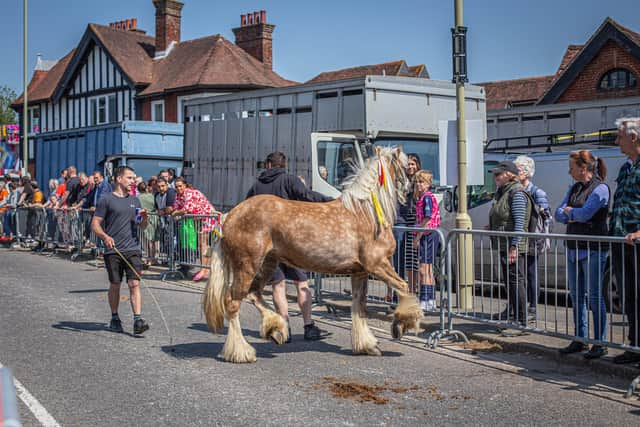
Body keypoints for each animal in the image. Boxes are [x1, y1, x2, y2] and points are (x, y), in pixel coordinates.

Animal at [202, 145, 422, 362]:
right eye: (406, 167)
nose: (409, 191)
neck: (365, 212)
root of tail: (228, 216)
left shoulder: (360, 272)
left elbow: (359, 307)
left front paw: (367, 345)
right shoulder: (378, 265)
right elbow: (405, 287)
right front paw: (402, 323)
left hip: (267, 265)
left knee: (254, 294)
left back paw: (276, 329)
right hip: (247, 267)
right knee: (232, 304)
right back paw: (242, 352)